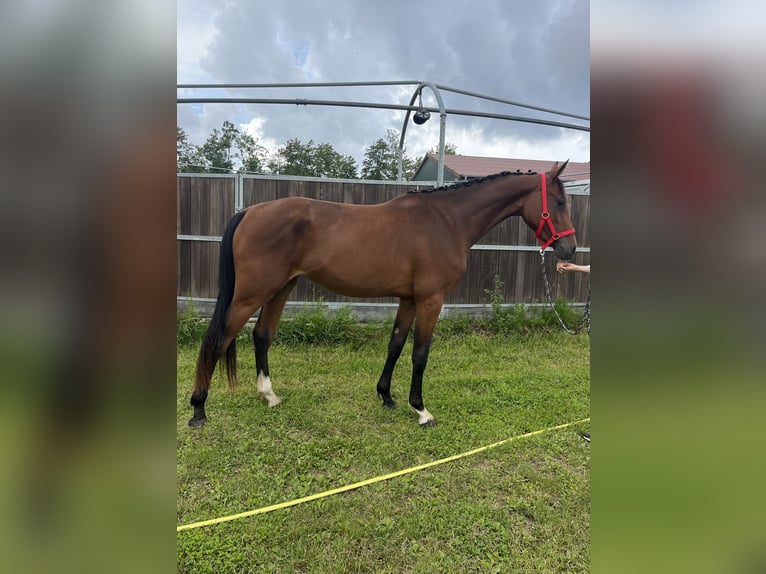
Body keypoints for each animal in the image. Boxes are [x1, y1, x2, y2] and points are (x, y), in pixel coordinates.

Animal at [189, 161, 576, 428]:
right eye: (559, 201)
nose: (569, 249)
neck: (447, 220)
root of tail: (249, 211)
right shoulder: (431, 300)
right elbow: (420, 353)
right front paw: (421, 409)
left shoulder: (409, 299)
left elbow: (396, 344)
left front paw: (387, 396)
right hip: (250, 294)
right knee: (219, 338)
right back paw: (198, 409)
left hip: (280, 288)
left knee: (261, 335)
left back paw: (269, 396)